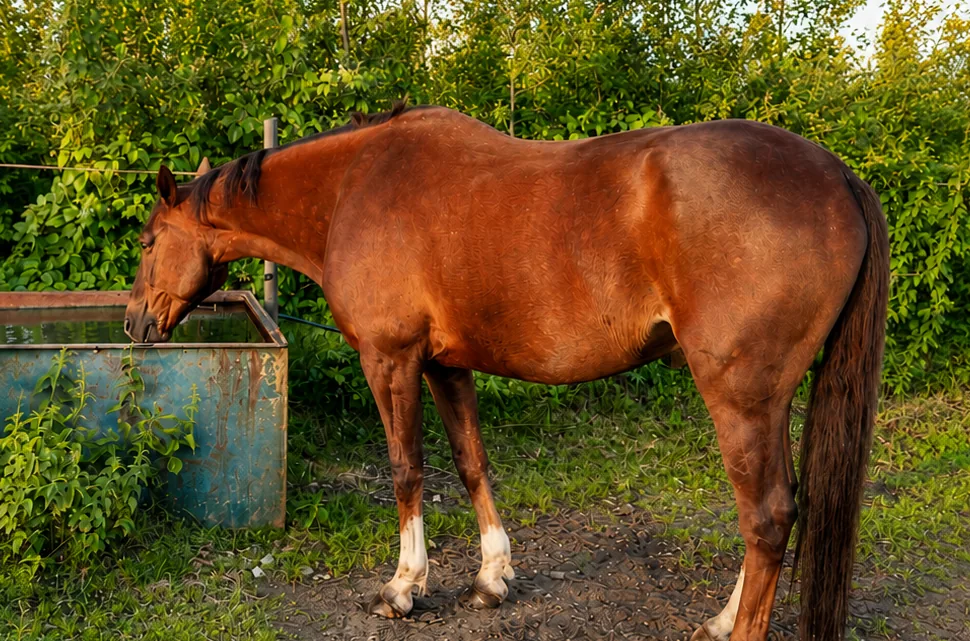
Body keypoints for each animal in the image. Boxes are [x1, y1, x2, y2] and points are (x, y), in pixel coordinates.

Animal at [125, 102, 888, 641]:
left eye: (149, 241)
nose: (133, 324)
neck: (353, 188)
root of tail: (840, 177)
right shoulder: (445, 364)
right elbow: (471, 463)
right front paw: (492, 578)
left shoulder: (391, 359)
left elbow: (407, 470)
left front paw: (404, 586)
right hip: (768, 400)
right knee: (778, 514)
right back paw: (722, 619)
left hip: (740, 395)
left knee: (767, 515)